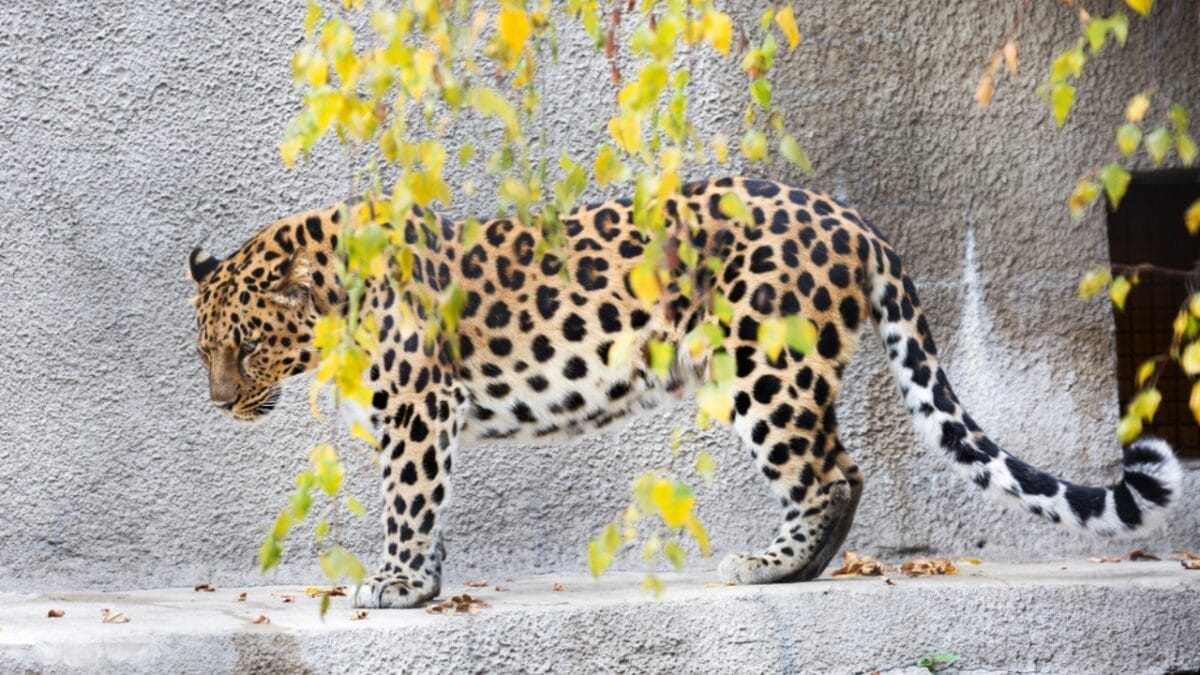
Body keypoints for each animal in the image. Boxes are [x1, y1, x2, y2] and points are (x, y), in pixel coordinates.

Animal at [188, 177, 1182, 609]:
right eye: (204, 350)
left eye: (244, 344)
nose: (220, 402)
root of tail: (850, 215)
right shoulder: (424, 418)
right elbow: (429, 504)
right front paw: (424, 580)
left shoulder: (418, 408)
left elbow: (408, 499)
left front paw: (395, 584)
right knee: (843, 467)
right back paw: (801, 567)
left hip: (763, 367)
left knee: (831, 470)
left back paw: (771, 567)